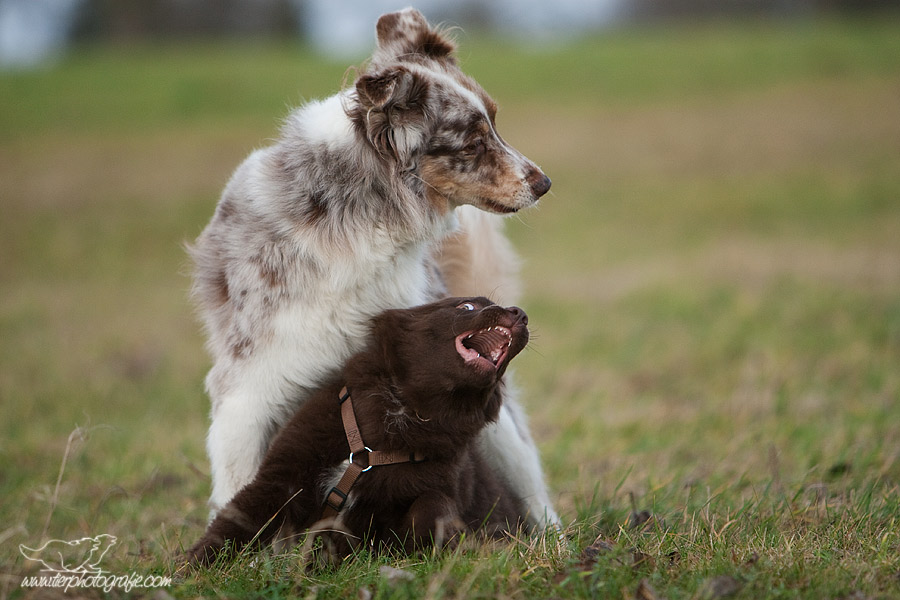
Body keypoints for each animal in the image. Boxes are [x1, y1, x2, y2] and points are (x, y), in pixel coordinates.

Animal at [187, 298, 532, 564]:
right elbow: (236, 523)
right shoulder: (281, 478)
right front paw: (192, 571)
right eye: (467, 306)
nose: (520, 314)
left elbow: (431, 506)